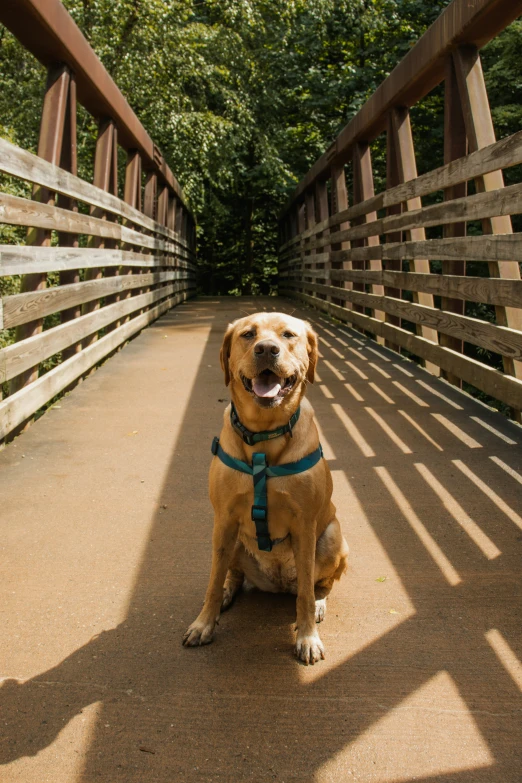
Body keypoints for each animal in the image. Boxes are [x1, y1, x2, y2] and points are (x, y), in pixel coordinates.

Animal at [181, 310, 348, 664]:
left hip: (331, 539)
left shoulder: (305, 524)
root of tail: (277, 583)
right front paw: (204, 623)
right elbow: (212, 581)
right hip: (229, 540)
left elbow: (305, 596)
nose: (267, 349)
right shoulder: (224, 518)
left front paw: (307, 637)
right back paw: (229, 591)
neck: (263, 436)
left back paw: (319, 603)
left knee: (318, 584)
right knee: (231, 573)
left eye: (288, 335)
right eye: (248, 334)